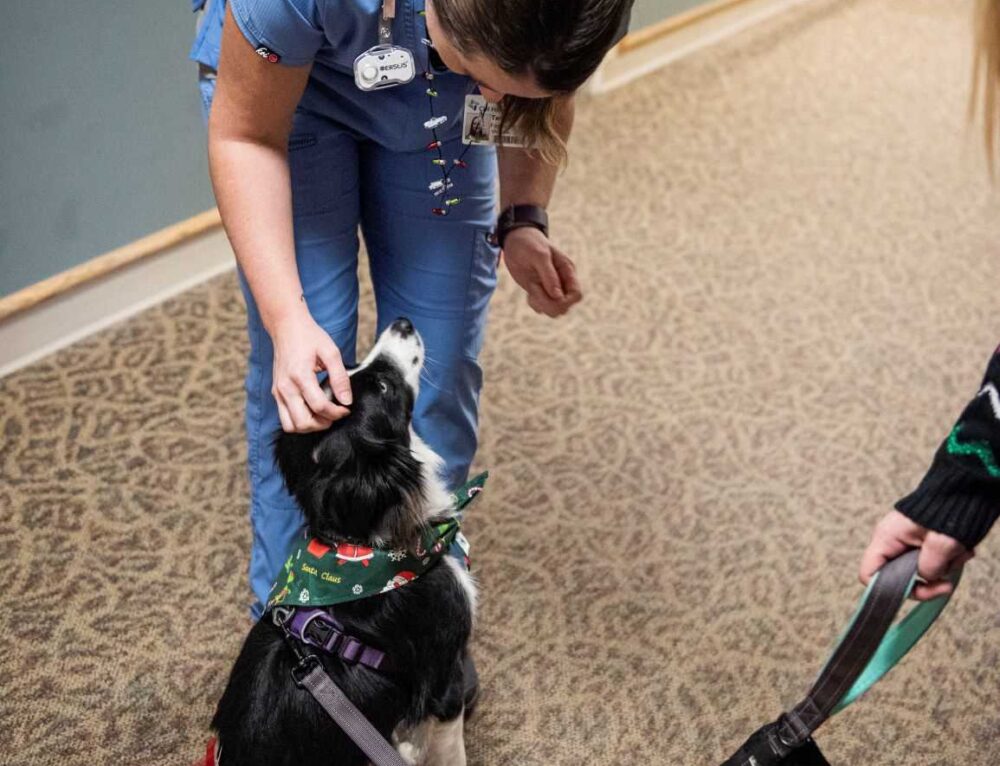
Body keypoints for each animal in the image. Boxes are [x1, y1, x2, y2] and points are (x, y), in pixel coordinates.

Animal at [211, 320, 476, 766]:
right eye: (384, 388)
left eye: (348, 365)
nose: (402, 322)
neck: (359, 546)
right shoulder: (444, 678)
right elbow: (452, 752)